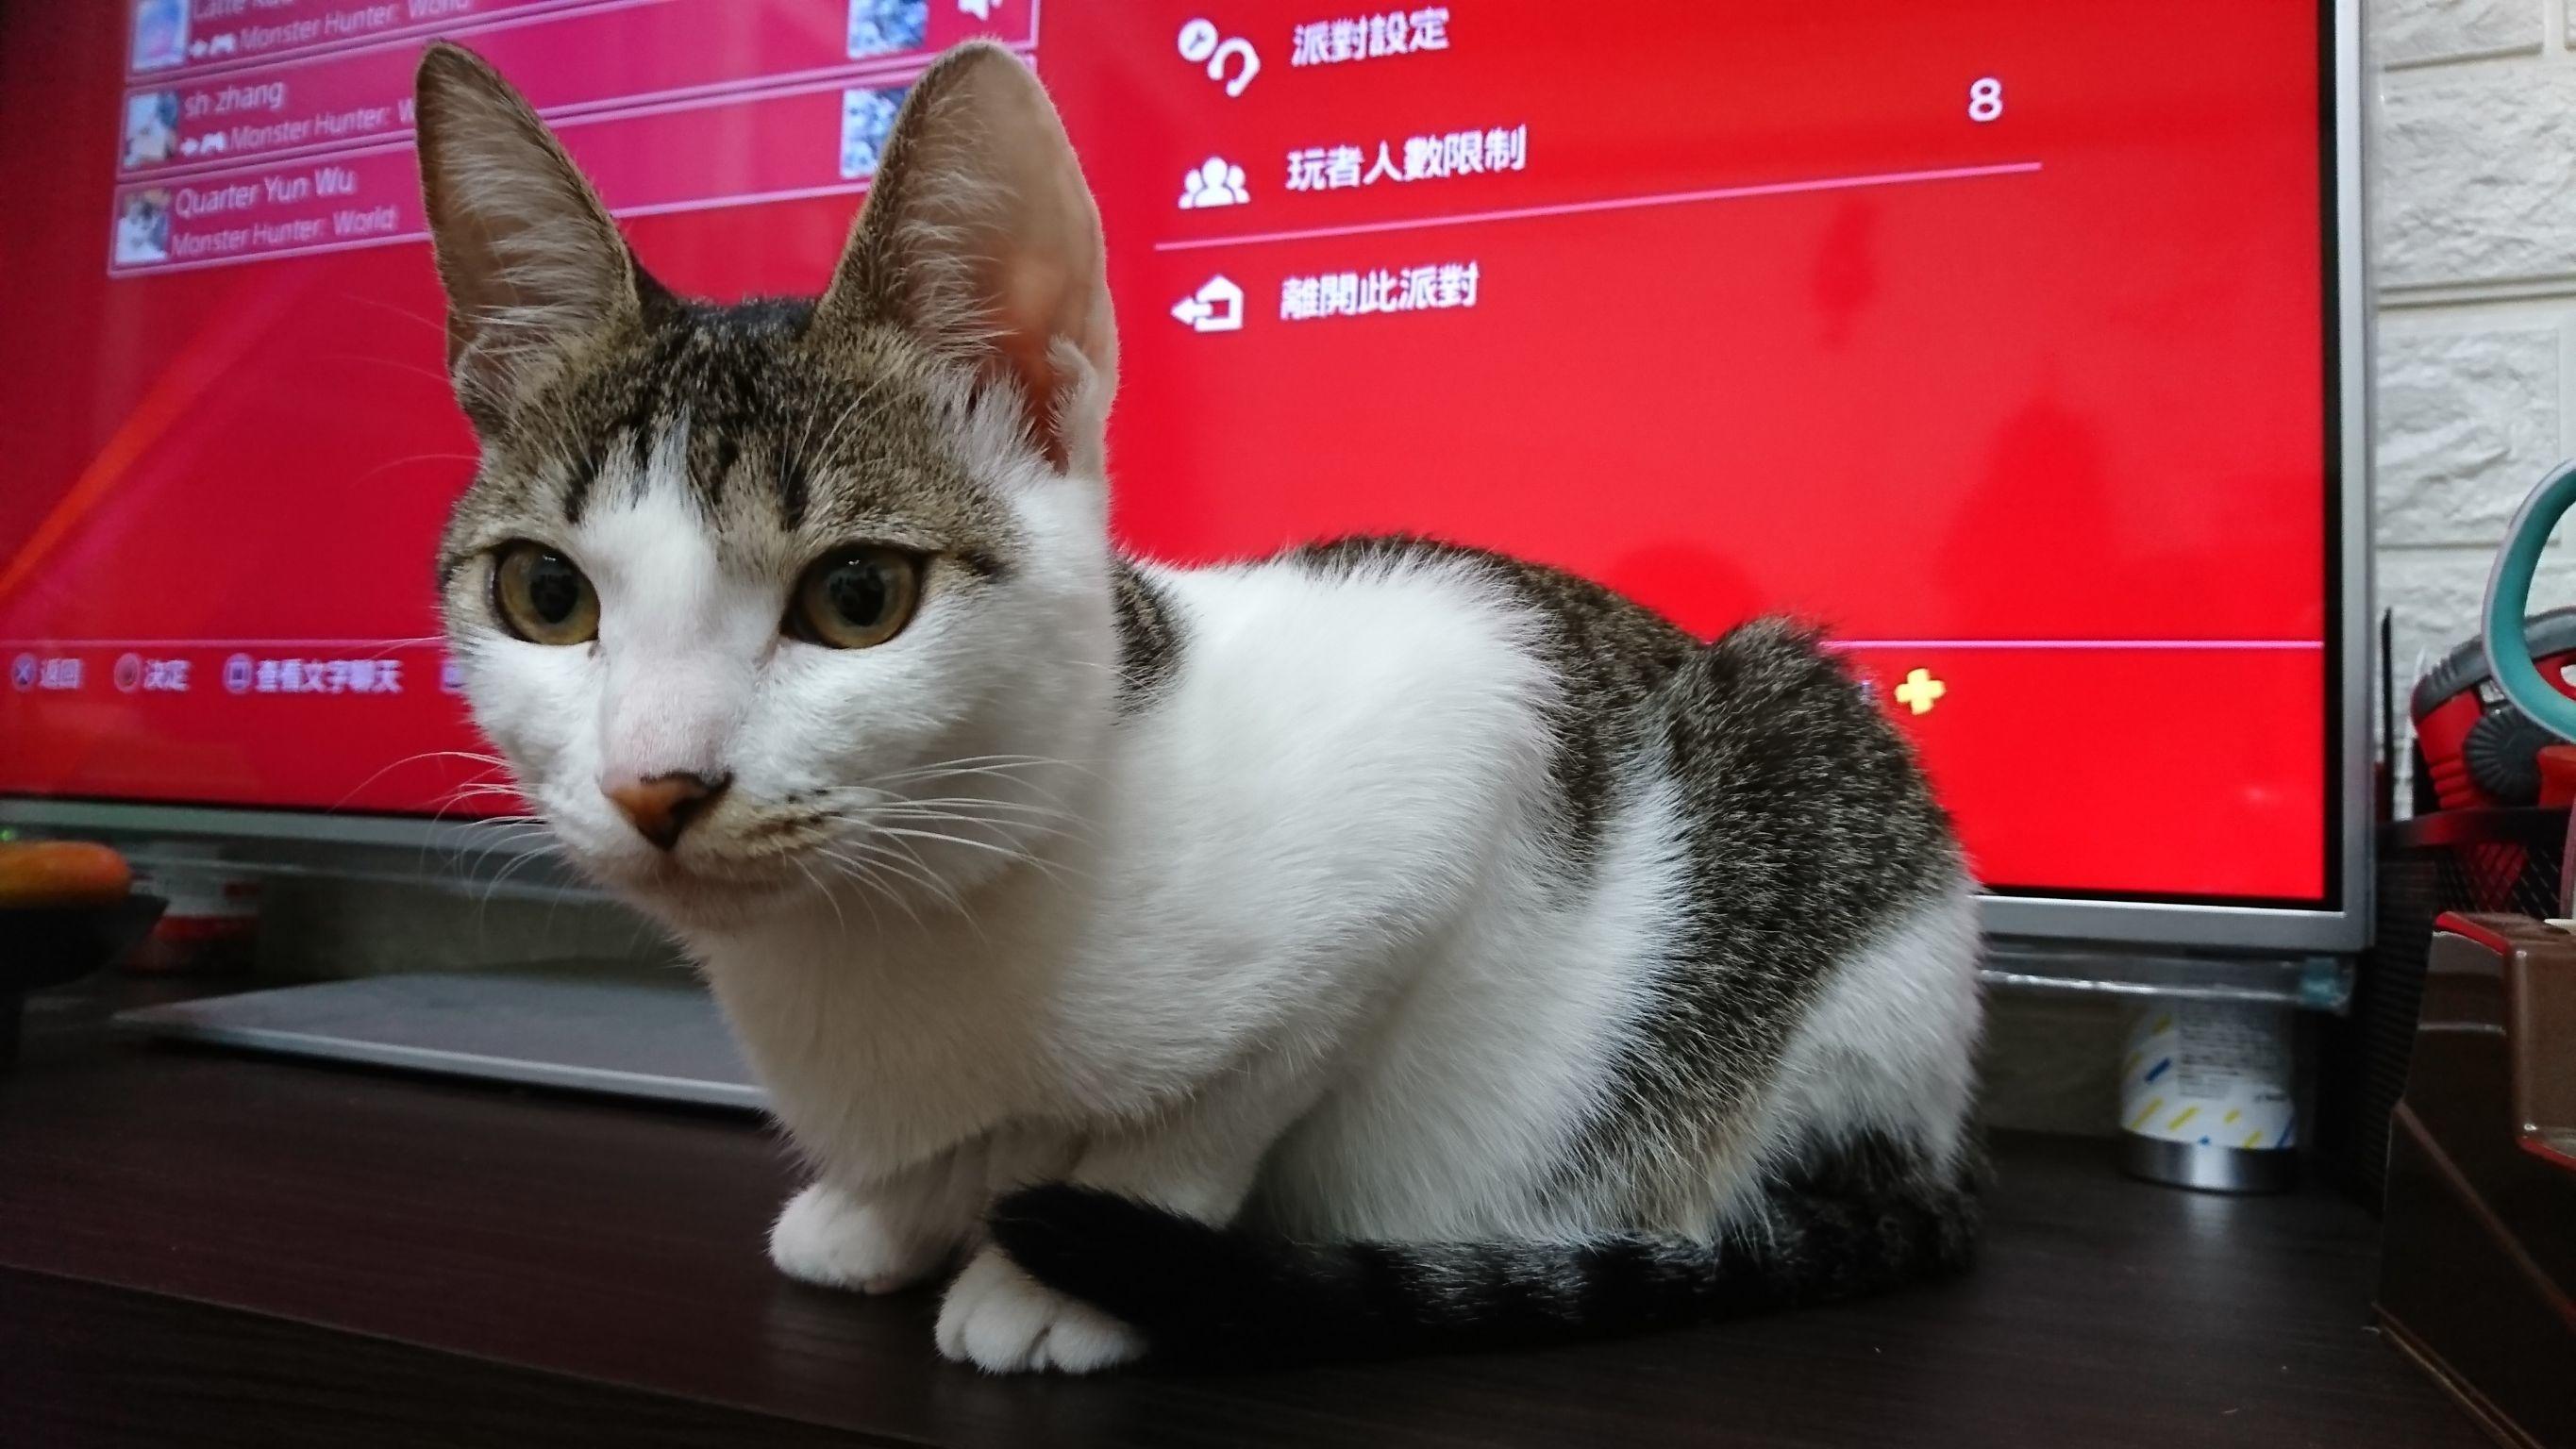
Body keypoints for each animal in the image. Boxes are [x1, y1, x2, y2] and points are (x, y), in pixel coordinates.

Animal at [414, 39, 1985, 1374]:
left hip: (1813, 797)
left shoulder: (1451, 725)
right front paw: (887, 1208)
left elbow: (1223, 1101)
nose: (654, 782)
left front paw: (1050, 1270)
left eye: (858, 597)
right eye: (545, 595)